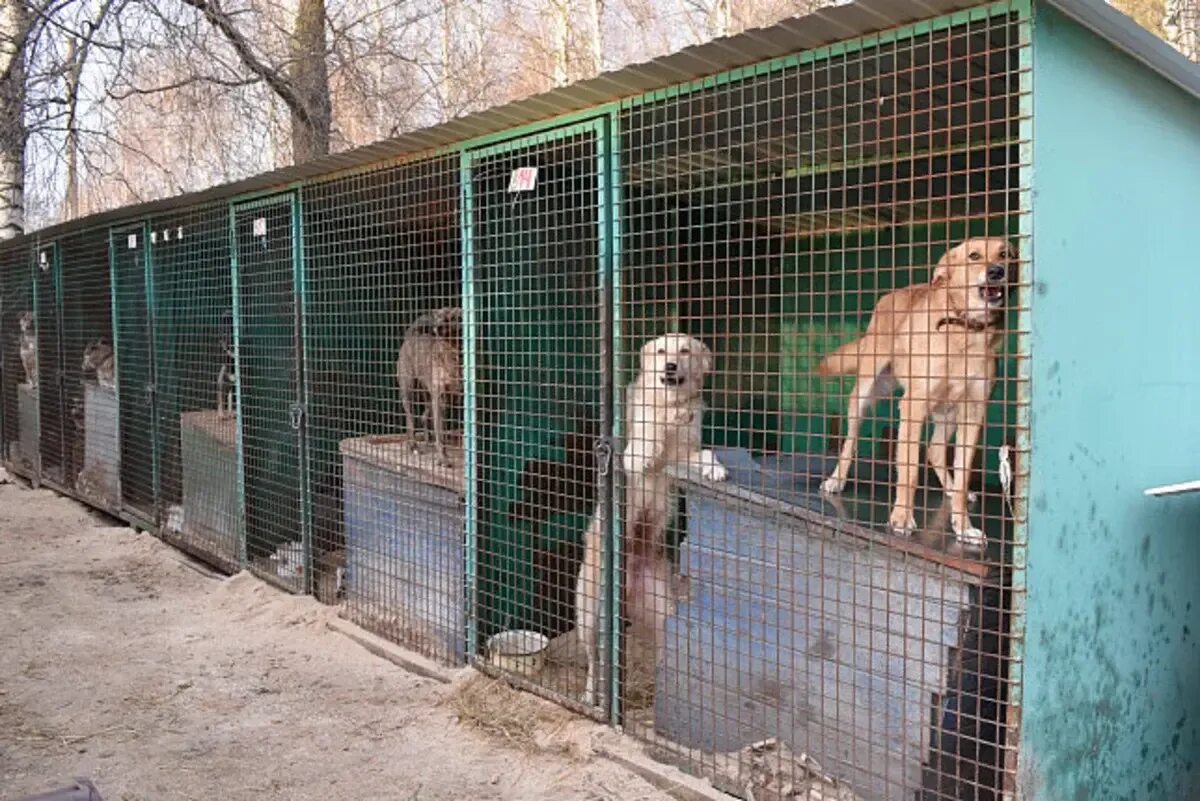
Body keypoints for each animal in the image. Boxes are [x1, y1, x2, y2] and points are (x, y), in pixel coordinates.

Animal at [816, 237, 1012, 551]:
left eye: (1006, 254)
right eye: (973, 256)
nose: (997, 271)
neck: (965, 330)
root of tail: (892, 294)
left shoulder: (973, 412)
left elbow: (963, 471)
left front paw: (963, 526)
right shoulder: (913, 406)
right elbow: (908, 471)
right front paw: (901, 518)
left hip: (948, 412)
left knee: (934, 449)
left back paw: (951, 487)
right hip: (866, 392)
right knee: (850, 439)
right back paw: (836, 480)